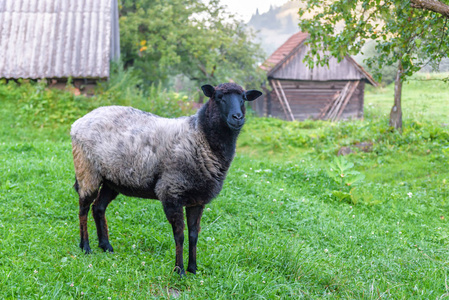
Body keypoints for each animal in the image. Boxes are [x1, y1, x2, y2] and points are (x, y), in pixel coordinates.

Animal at [70, 82, 262, 276]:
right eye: (219, 97)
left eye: (243, 99)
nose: (237, 117)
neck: (200, 136)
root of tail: (80, 121)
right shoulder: (171, 192)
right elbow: (180, 235)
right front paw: (180, 270)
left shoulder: (198, 199)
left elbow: (194, 234)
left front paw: (193, 268)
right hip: (87, 170)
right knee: (83, 209)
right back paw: (85, 246)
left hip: (112, 179)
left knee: (98, 208)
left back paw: (106, 246)